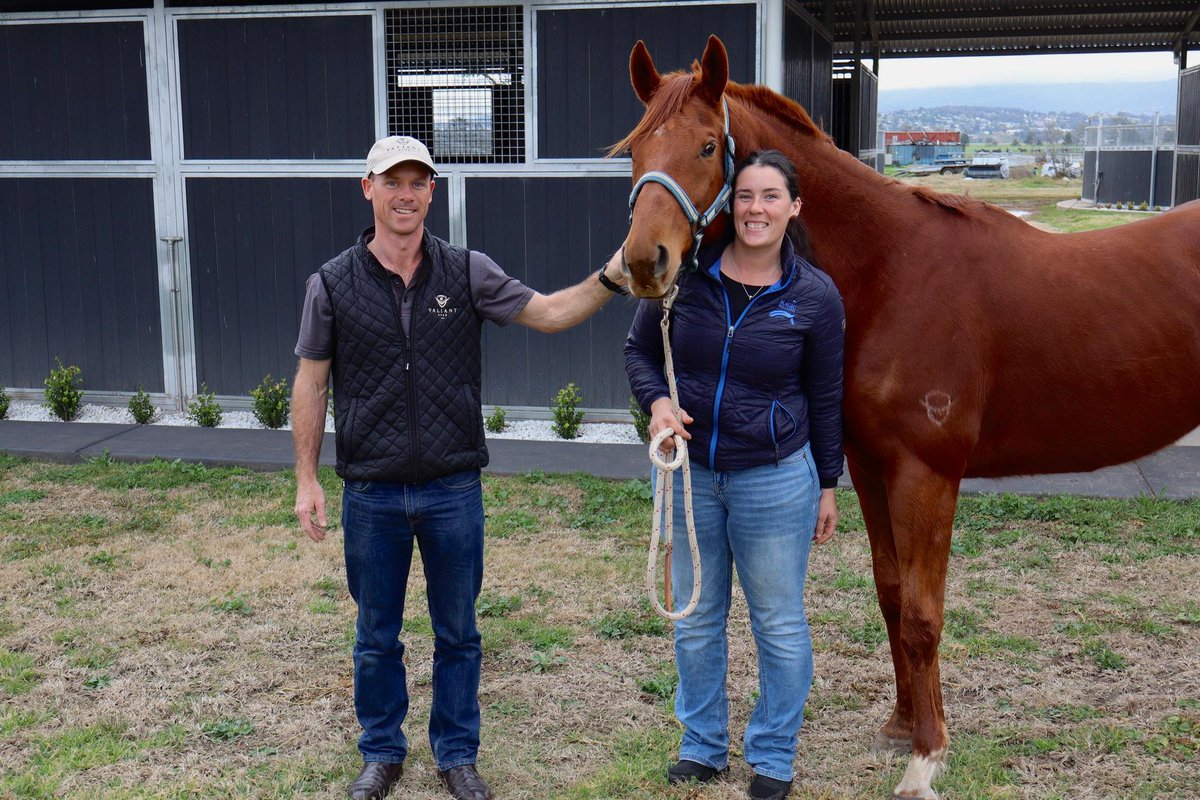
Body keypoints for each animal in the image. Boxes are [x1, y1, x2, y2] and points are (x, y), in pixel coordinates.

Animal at [612, 35, 1200, 800]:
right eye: (634, 149)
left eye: (709, 145)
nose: (643, 263)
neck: (890, 270)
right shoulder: (868, 466)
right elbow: (892, 597)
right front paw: (904, 728)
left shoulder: (927, 475)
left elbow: (923, 614)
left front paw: (926, 758)